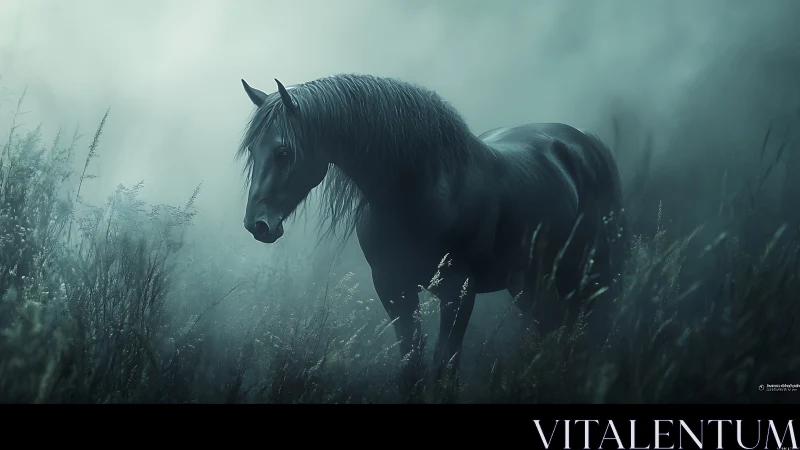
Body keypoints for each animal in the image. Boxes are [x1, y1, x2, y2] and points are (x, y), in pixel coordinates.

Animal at [236, 74, 627, 401]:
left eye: (284, 152)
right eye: (253, 151)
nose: (257, 225)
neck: (421, 191)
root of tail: (583, 141)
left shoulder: (458, 293)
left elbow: (444, 370)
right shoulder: (393, 289)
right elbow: (412, 368)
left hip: (590, 274)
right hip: (531, 283)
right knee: (553, 329)